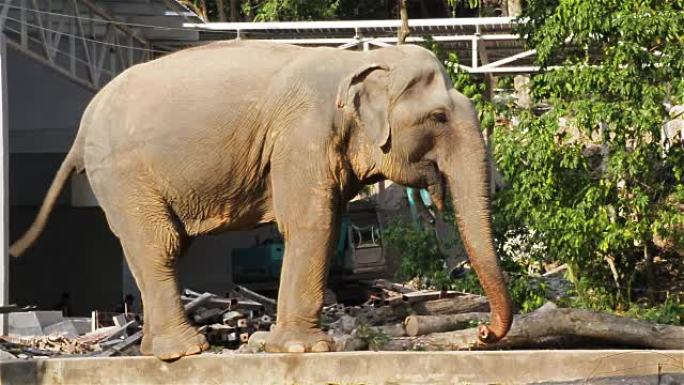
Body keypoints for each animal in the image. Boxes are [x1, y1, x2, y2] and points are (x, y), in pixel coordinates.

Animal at [10, 40, 510, 358]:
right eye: (439, 117)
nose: (484, 333)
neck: (362, 62)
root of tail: (82, 127)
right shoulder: (302, 135)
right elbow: (312, 223)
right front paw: (309, 349)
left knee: (160, 248)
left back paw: (155, 350)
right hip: (122, 174)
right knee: (159, 244)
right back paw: (185, 351)